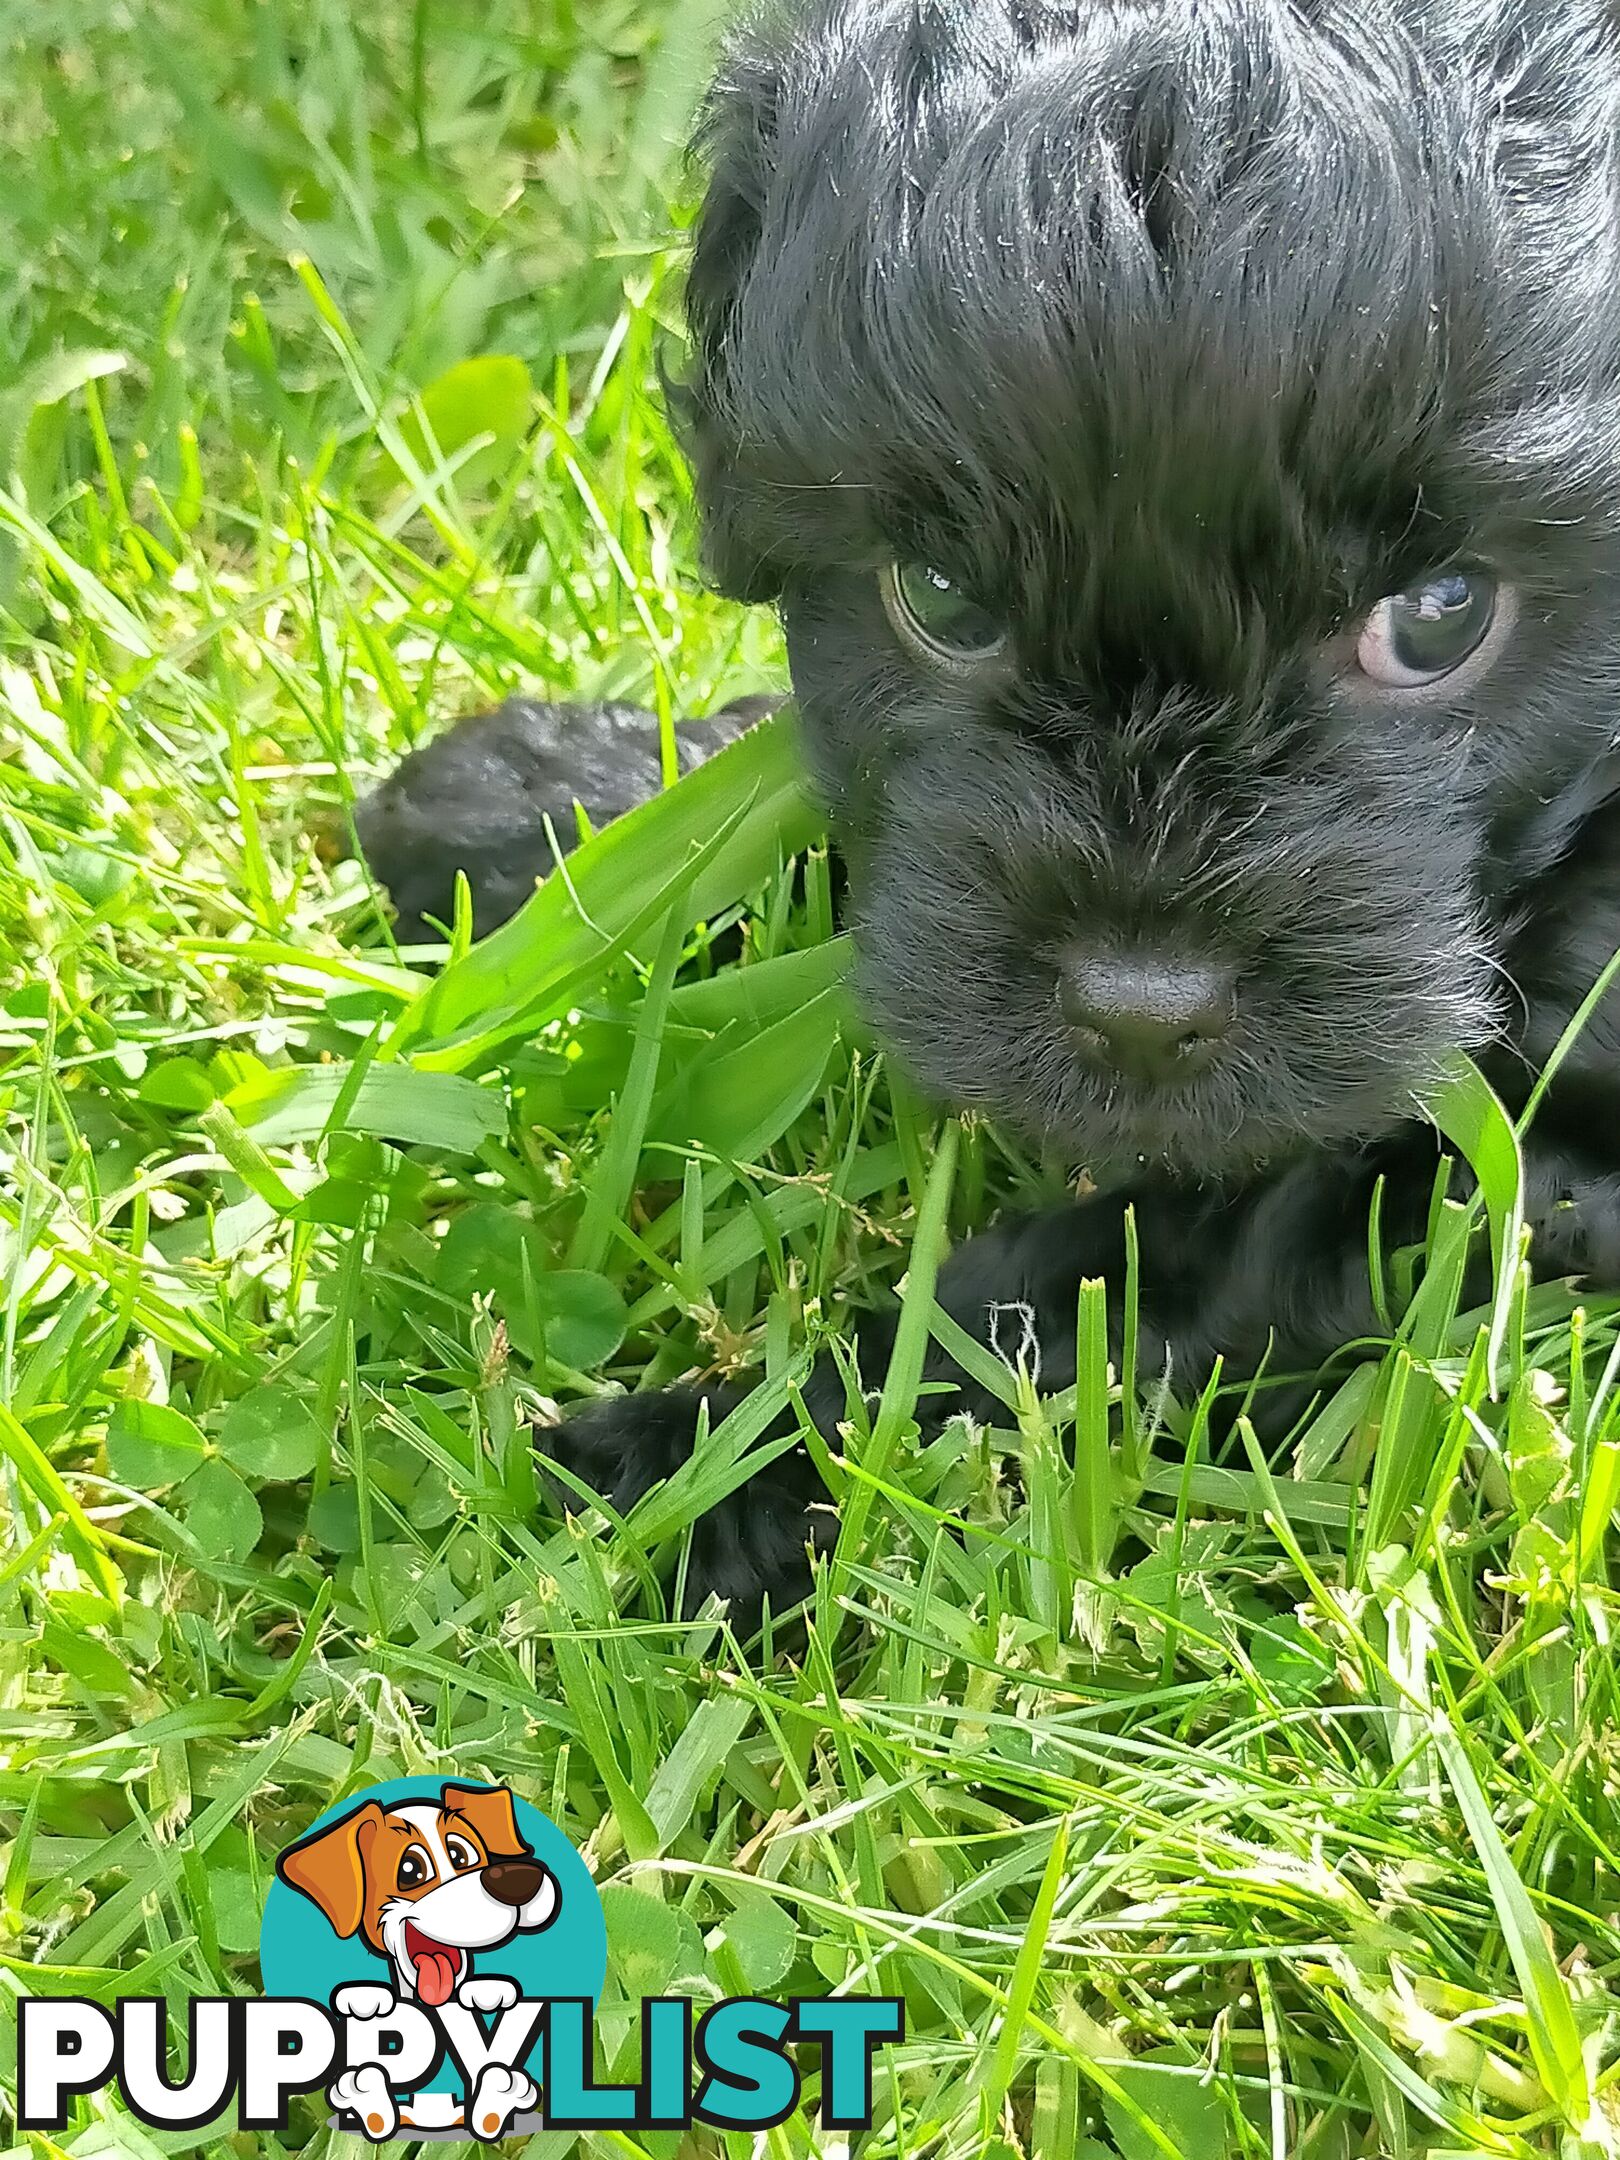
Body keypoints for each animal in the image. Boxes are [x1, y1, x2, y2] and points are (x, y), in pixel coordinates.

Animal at [367, 0, 1620, 1615]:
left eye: (1444, 616)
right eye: (943, 600)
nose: (1140, 1009)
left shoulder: (1498, 1166)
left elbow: (1086, 1297)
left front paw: (698, 1468)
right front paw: (526, 810)